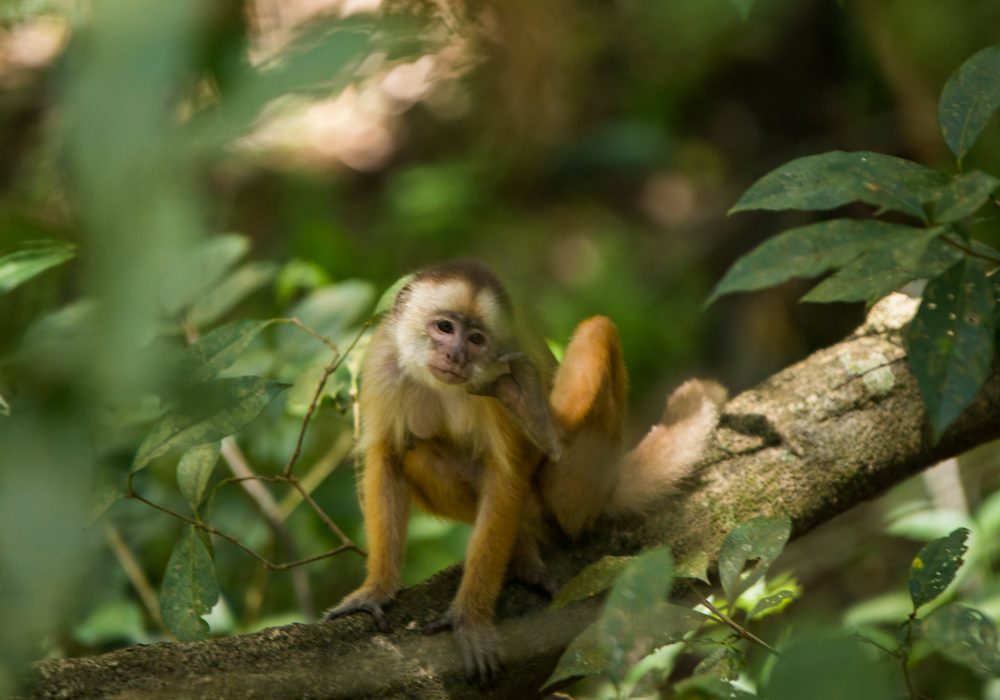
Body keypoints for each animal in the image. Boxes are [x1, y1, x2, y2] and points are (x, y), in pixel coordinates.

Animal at [324, 260, 726, 687]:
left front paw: (470, 620)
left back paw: (542, 424)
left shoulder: (496, 375)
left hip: (578, 489)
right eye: (445, 328)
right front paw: (376, 591)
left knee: (597, 330)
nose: (456, 355)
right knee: (421, 453)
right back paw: (521, 544)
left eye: (477, 339)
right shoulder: (383, 362)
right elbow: (386, 459)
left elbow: (506, 474)